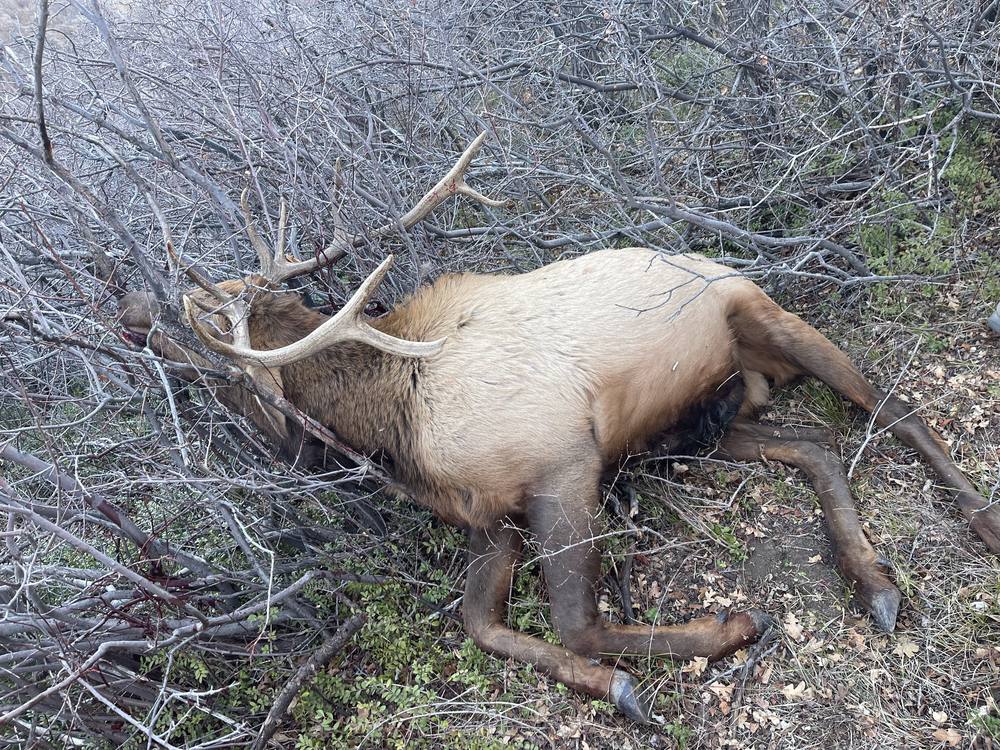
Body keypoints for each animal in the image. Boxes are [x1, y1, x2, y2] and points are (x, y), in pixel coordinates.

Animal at [118, 133, 1000, 723]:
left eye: (211, 343)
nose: (133, 314)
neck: (395, 426)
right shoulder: (492, 516)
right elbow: (479, 623)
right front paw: (616, 682)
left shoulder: (564, 462)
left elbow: (578, 621)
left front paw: (724, 630)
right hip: (700, 422)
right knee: (818, 445)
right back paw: (873, 579)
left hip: (761, 316)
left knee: (891, 408)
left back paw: (973, 520)